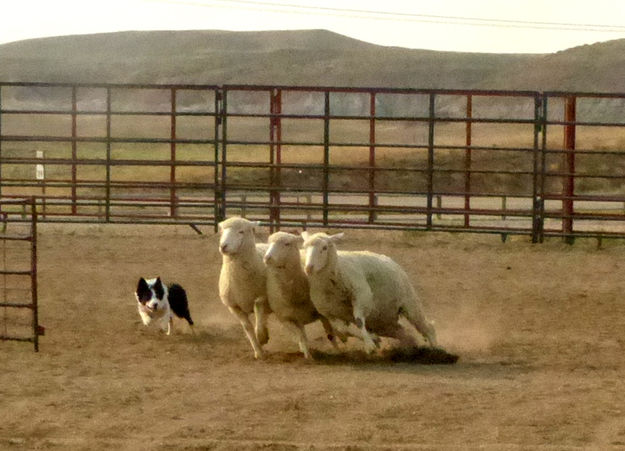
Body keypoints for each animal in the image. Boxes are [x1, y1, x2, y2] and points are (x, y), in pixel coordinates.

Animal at [218, 217, 270, 362]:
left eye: (241, 231)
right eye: (222, 231)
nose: (223, 246)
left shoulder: (262, 297)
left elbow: (258, 310)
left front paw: (261, 337)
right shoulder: (234, 306)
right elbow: (248, 327)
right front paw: (259, 352)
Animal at [300, 231, 436, 354]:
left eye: (324, 247)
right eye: (304, 247)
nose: (308, 268)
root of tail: (391, 261)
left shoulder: (362, 296)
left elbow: (359, 321)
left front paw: (369, 345)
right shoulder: (329, 312)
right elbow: (342, 329)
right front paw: (373, 339)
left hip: (409, 303)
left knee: (426, 327)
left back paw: (435, 348)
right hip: (383, 321)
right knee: (403, 332)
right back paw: (408, 347)